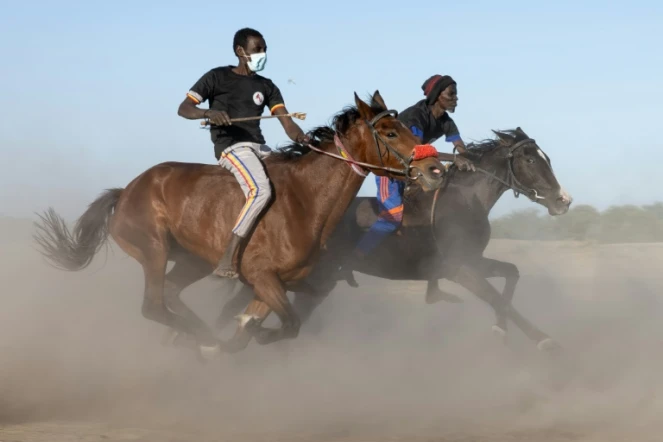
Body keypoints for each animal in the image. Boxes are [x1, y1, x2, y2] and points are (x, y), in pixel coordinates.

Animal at [32, 90, 446, 360]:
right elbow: (290, 323)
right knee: (153, 306)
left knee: (172, 295)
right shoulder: (262, 276)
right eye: (390, 132)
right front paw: (243, 336)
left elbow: (262, 324)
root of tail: (127, 190)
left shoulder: (275, 283)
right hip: (153, 250)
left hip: (192, 260)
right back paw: (200, 339)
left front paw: (246, 330)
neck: (305, 200)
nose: (434, 169)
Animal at [217, 128, 572, 352]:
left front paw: (503, 328)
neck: (463, 201)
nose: (563, 201)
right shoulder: (458, 269)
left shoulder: (471, 260)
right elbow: (498, 299)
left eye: (547, 157)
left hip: (317, 281)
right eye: (530, 159)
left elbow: (512, 273)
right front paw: (543, 339)